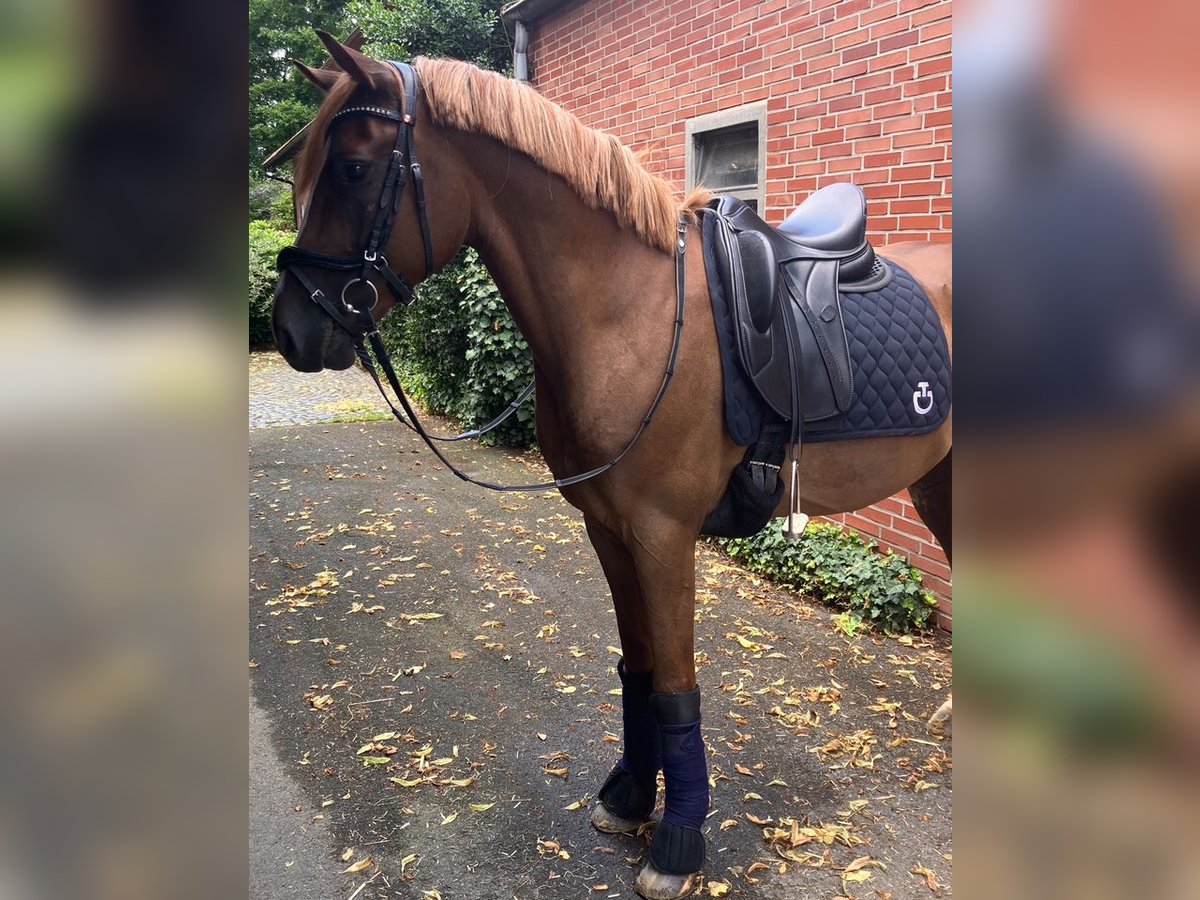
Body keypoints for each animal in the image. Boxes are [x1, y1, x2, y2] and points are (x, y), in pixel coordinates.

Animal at [274, 31, 955, 897]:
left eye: (355, 168)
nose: (288, 329)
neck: (628, 311)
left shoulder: (663, 537)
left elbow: (674, 687)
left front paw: (679, 843)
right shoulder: (608, 529)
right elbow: (636, 670)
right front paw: (632, 799)